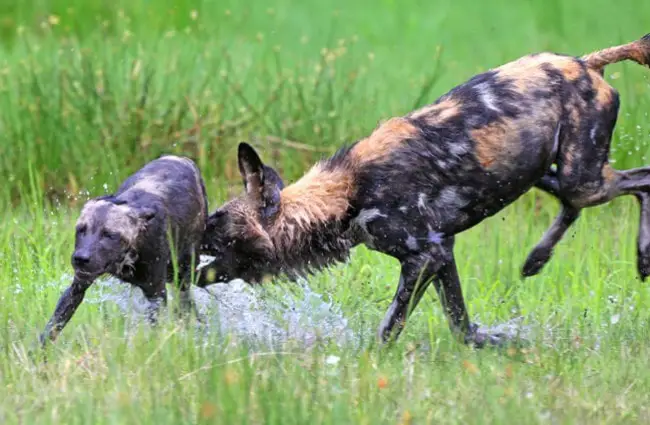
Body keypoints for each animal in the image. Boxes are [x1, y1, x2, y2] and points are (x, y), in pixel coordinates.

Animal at [39, 156, 206, 344]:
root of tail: (182, 158)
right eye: (81, 230)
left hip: (183, 275)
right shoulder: (77, 287)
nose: (80, 258)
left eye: (109, 235)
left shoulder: (156, 294)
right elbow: (52, 327)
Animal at [197, 35, 648, 344]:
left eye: (216, 226)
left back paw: (641, 259)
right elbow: (462, 325)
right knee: (579, 199)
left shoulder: (424, 256)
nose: (187, 239)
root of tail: (585, 63)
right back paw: (536, 260)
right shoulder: (441, 251)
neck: (347, 194)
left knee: (640, 180)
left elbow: (388, 329)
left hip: (582, 178)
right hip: (547, 174)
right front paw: (496, 344)